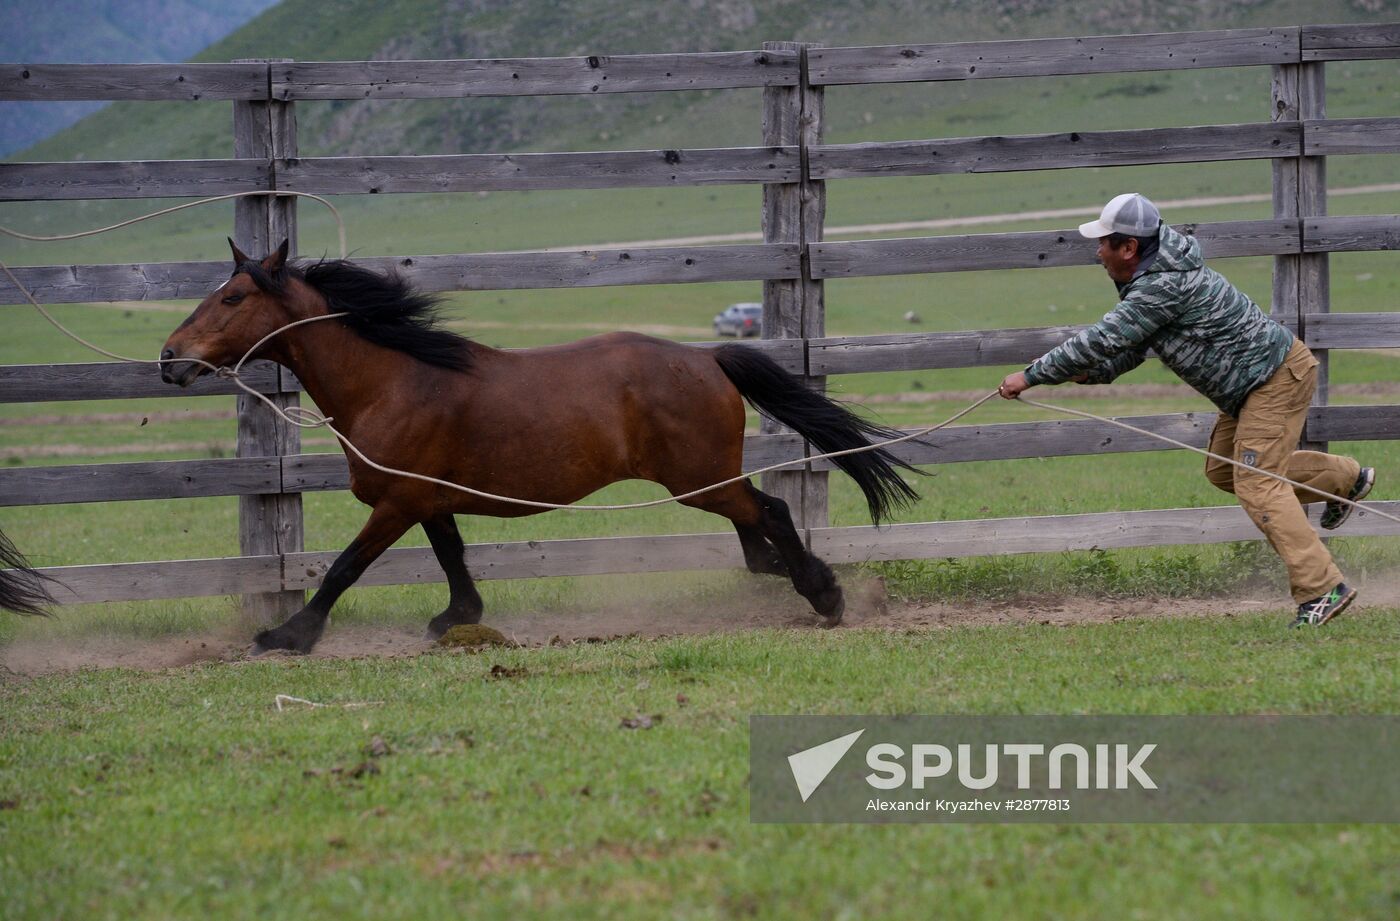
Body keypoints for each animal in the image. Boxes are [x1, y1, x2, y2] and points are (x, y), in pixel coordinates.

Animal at [161, 236, 918, 652]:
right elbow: (453, 561)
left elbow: (344, 568)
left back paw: (825, 594)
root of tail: (708, 357)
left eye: (232, 298)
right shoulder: (429, 499)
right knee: (757, 533)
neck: (393, 380)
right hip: (704, 481)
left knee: (772, 513)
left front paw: (287, 637)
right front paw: (455, 620)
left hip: (698, 479)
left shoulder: (398, 501)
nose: (170, 359)